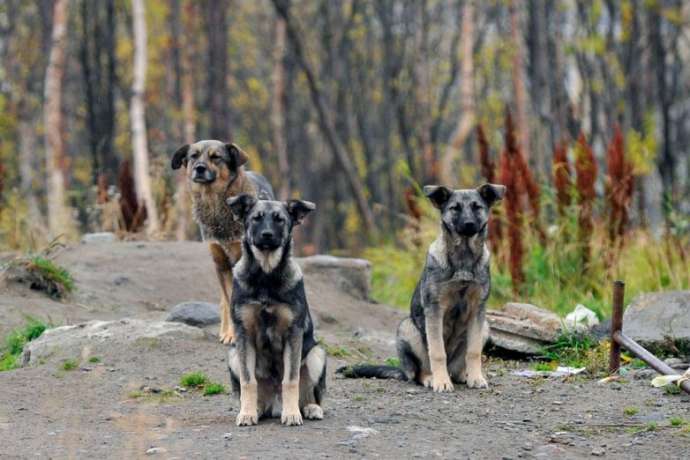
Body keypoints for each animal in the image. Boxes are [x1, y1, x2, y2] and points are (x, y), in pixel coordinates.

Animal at [171, 138, 272, 344]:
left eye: (216, 157)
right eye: (193, 156)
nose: (199, 168)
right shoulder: (221, 263)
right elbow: (228, 301)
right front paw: (231, 334)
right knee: (225, 303)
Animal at [223, 192, 326, 426]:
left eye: (280, 220)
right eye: (256, 218)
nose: (267, 235)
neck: (266, 275)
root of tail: (274, 403)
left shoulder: (293, 334)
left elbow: (291, 380)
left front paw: (292, 414)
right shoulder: (243, 334)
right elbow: (248, 381)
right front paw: (247, 414)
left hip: (317, 354)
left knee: (310, 393)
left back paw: (309, 408)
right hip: (233, 356)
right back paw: (256, 409)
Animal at [338, 183, 506, 392]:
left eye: (477, 207)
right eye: (455, 208)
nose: (468, 224)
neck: (463, 258)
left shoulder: (477, 310)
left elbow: (473, 352)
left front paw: (476, 378)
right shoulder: (434, 309)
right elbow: (437, 352)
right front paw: (442, 382)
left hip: (485, 328)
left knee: (459, 366)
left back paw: (463, 376)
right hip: (408, 327)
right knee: (419, 371)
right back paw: (432, 378)